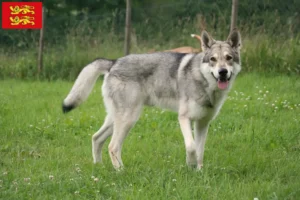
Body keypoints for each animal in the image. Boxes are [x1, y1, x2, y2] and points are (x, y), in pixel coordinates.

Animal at [62, 29, 241, 170]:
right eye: (213, 59)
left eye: (229, 58)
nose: (223, 72)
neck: (204, 83)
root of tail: (113, 62)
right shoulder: (183, 118)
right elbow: (191, 147)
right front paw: (190, 166)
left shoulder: (203, 123)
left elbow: (200, 151)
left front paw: (198, 172)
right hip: (129, 119)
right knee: (113, 146)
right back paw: (121, 171)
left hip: (117, 119)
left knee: (96, 138)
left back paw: (98, 167)